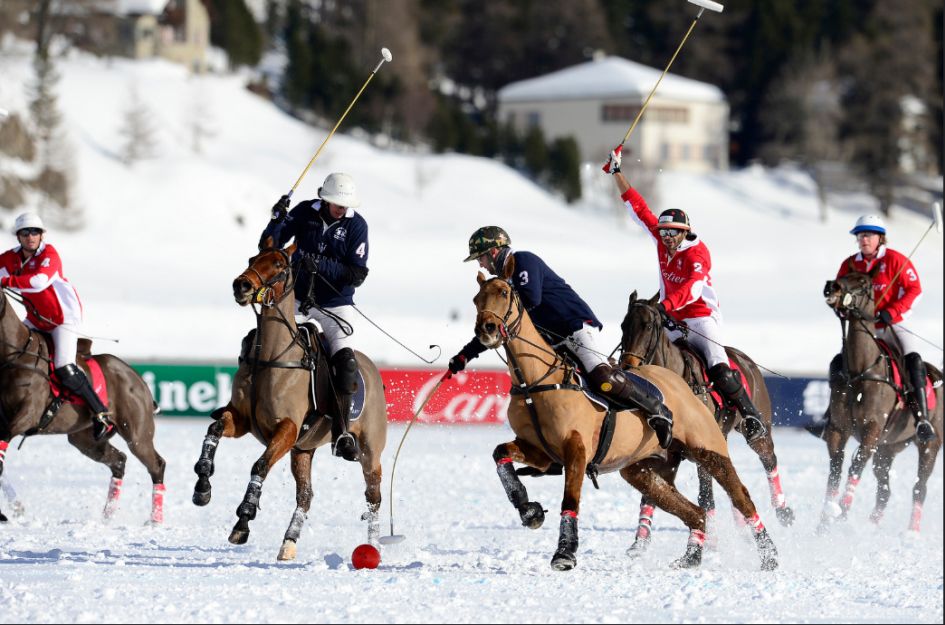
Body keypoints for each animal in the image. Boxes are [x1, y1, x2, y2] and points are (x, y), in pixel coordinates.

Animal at [0, 290, 165, 524]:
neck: (15, 355)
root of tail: (140, 381)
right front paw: (15, 509)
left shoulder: (25, 416)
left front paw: (15, 510)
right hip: (84, 438)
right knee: (119, 461)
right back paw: (107, 517)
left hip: (137, 435)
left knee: (156, 465)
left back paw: (155, 521)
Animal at [192, 240, 388, 560]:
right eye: (252, 258)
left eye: (280, 265)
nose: (241, 285)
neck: (270, 356)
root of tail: (373, 369)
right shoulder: (243, 420)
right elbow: (214, 430)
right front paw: (202, 486)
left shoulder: (287, 428)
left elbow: (259, 466)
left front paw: (243, 522)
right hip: (303, 450)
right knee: (306, 495)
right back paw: (288, 543)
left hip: (369, 449)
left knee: (373, 495)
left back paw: (372, 547)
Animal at [616, 290, 792, 548]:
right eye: (623, 325)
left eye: (647, 325)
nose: (628, 367)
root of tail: (744, 359)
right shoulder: (669, 452)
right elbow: (653, 493)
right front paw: (639, 545)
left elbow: (705, 495)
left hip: (758, 427)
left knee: (768, 457)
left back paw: (783, 510)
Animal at [816, 266, 940, 532]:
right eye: (842, 274)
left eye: (864, 282)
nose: (832, 286)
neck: (861, 370)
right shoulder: (838, 429)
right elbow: (835, 469)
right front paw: (824, 520)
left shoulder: (872, 429)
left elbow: (856, 463)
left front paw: (841, 512)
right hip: (888, 448)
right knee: (885, 490)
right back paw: (873, 525)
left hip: (929, 445)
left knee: (920, 487)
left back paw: (911, 533)